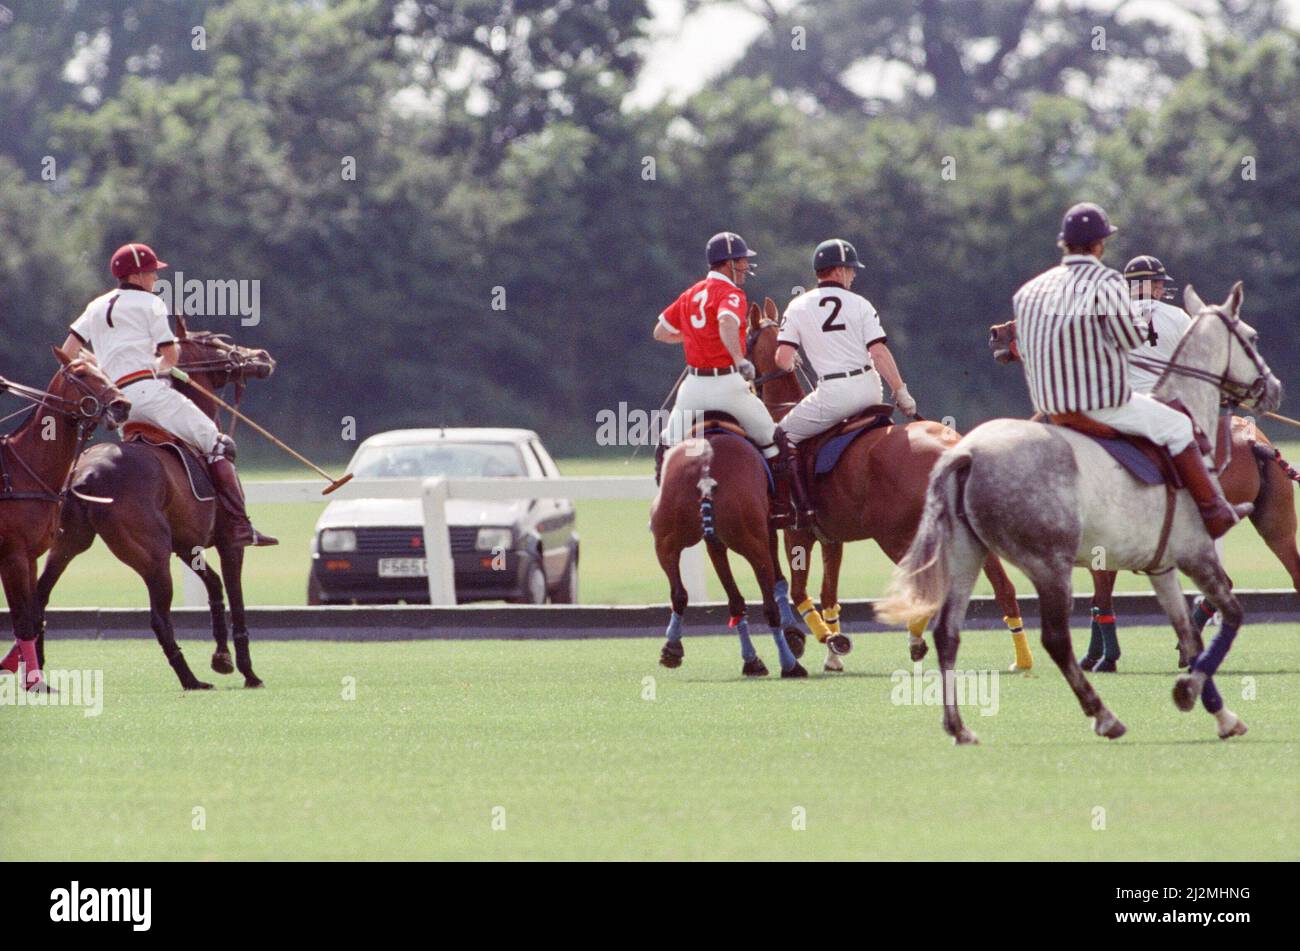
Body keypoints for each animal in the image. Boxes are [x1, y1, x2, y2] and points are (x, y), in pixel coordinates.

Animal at [0, 353, 130, 685]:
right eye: (81, 373)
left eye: (103, 370)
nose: (122, 405)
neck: (23, 471)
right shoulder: (12, 555)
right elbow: (22, 618)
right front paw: (34, 682)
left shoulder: (30, 556)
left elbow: (33, 615)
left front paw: (29, 676)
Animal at [34, 320, 274, 691]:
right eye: (215, 341)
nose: (261, 357)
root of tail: (83, 473)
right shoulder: (228, 543)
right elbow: (236, 598)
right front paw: (249, 672)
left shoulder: (187, 545)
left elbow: (214, 587)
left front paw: (221, 658)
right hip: (152, 555)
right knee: (159, 617)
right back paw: (191, 680)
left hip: (68, 542)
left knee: (39, 597)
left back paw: (37, 674)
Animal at [748, 301, 1029, 670]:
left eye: (743, 338)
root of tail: (952, 448)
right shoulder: (831, 537)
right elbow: (828, 595)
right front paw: (832, 656)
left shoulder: (797, 532)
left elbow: (799, 592)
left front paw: (829, 640)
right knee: (1003, 587)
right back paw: (1022, 659)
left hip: (896, 535)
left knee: (928, 590)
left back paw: (916, 639)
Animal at [878, 285, 1284, 748]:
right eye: (1252, 337)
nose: (1274, 388)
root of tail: (966, 453)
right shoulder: (1196, 553)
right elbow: (1231, 615)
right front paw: (1187, 691)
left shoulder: (1162, 566)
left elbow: (1188, 634)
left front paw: (1222, 715)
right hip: (1048, 562)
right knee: (1055, 639)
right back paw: (1104, 715)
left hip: (967, 553)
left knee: (948, 632)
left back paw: (959, 726)